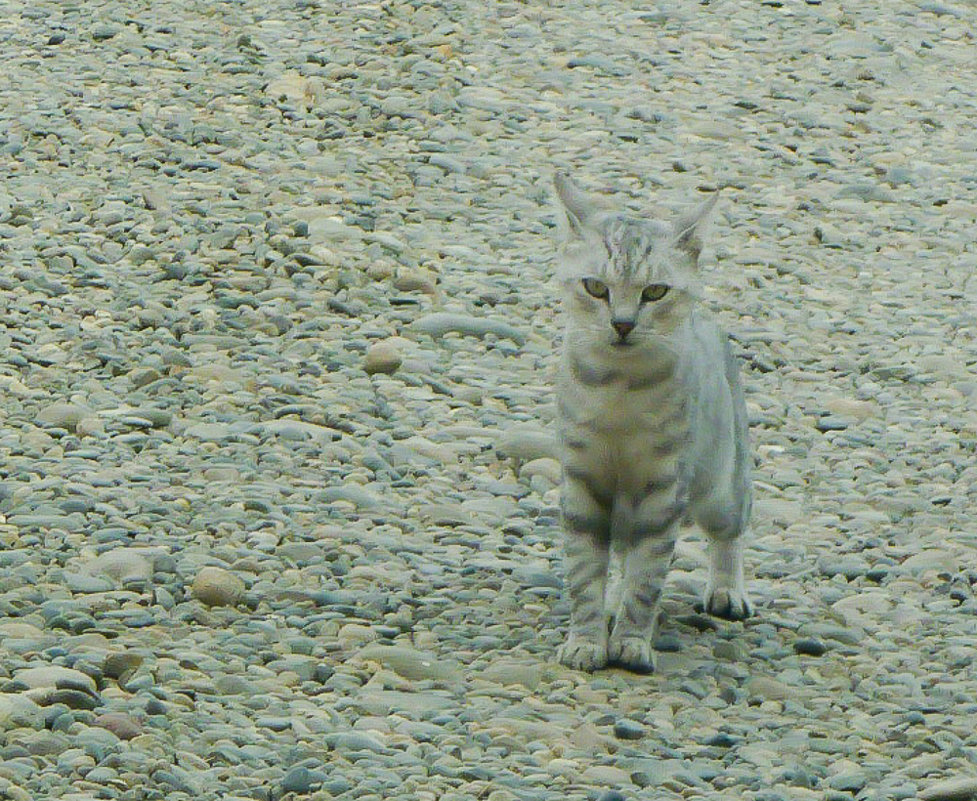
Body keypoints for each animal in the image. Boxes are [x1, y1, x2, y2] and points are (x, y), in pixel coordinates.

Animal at [552, 172, 752, 672]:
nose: (622, 323)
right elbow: (585, 571)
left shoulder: (663, 488)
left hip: (723, 489)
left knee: (729, 537)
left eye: (655, 292)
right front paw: (586, 639)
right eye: (596, 287)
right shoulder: (582, 481)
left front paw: (631, 642)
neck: (618, 389)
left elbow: (647, 578)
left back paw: (727, 590)